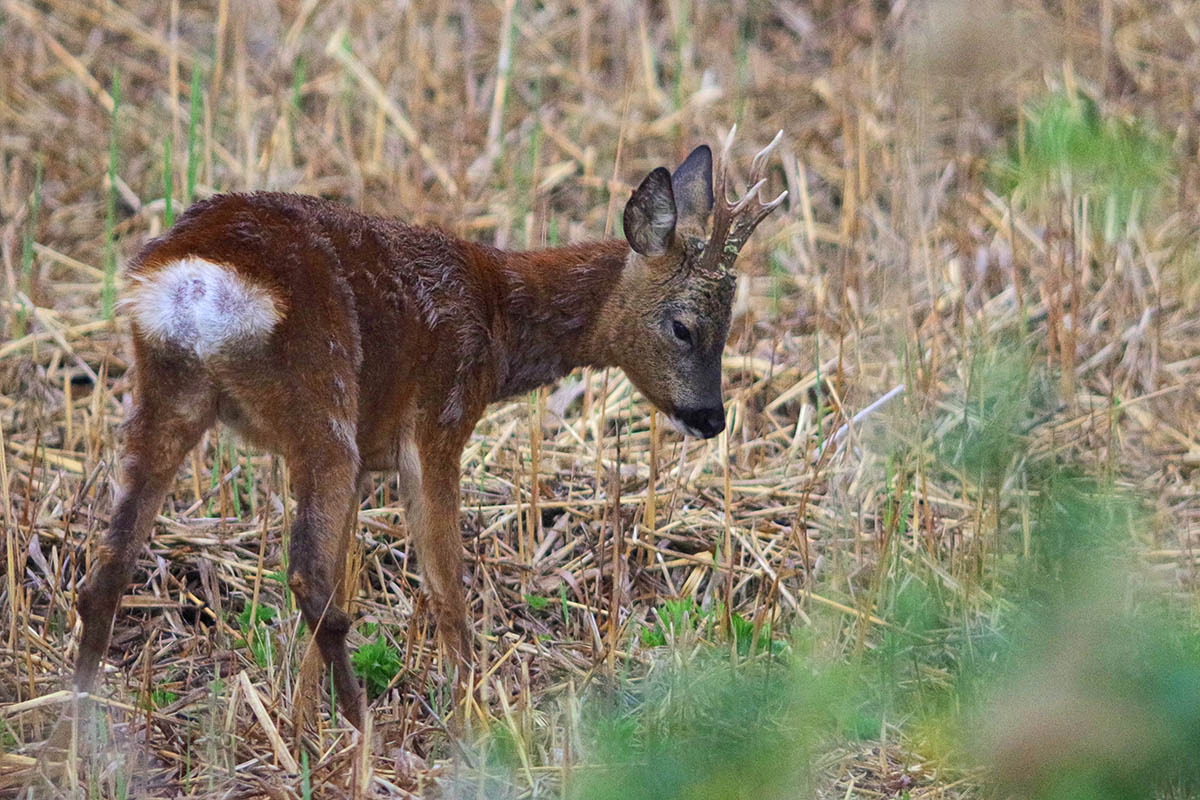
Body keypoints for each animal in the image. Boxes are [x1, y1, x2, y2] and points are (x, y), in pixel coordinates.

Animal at [75, 128, 787, 729]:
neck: (498, 319)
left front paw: (300, 725)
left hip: (172, 393)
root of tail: (193, 283)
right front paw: (475, 719)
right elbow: (447, 586)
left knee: (112, 565)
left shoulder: (371, 459)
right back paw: (364, 731)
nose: (711, 417)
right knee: (305, 576)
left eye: (728, 328)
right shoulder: (437, 422)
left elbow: (350, 574)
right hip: (321, 395)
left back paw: (79, 734)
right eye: (683, 327)